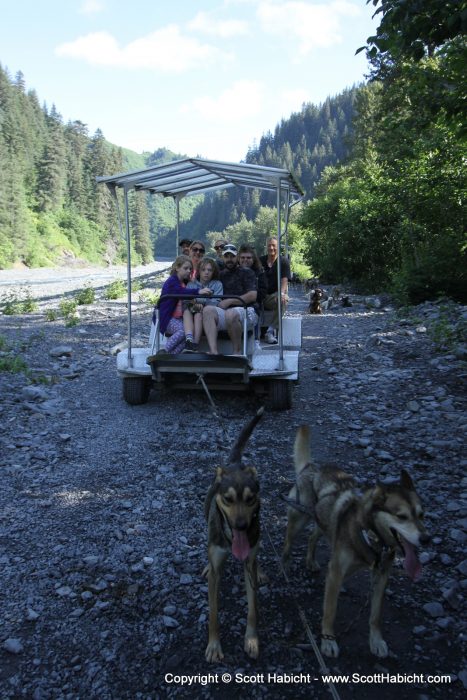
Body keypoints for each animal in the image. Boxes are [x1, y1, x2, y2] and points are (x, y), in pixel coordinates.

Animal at [282, 424, 432, 660]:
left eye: (421, 514)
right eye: (401, 516)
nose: (426, 539)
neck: (369, 535)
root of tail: (310, 466)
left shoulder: (381, 575)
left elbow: (376, 616)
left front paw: (376, 641)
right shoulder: (335, 573)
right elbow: (330, 611)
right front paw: (328, 641)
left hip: (323, 523)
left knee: (313, 537)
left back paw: (311, 561)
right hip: (298, 520)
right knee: (287, 545)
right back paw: (285, 567)